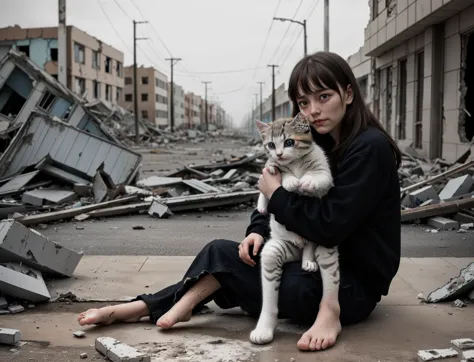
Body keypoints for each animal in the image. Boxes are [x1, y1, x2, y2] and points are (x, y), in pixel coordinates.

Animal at [250, 113, 338, 346]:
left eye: (289, 142)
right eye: (271, 144)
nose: (279, 153)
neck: (296, 162)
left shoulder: (323, 170)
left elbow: (320, 176)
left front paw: (306, 180)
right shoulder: (273, 167)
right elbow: (276, 173)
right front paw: (289, 181)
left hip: (315, 236)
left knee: (310, 242)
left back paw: (307, 259)